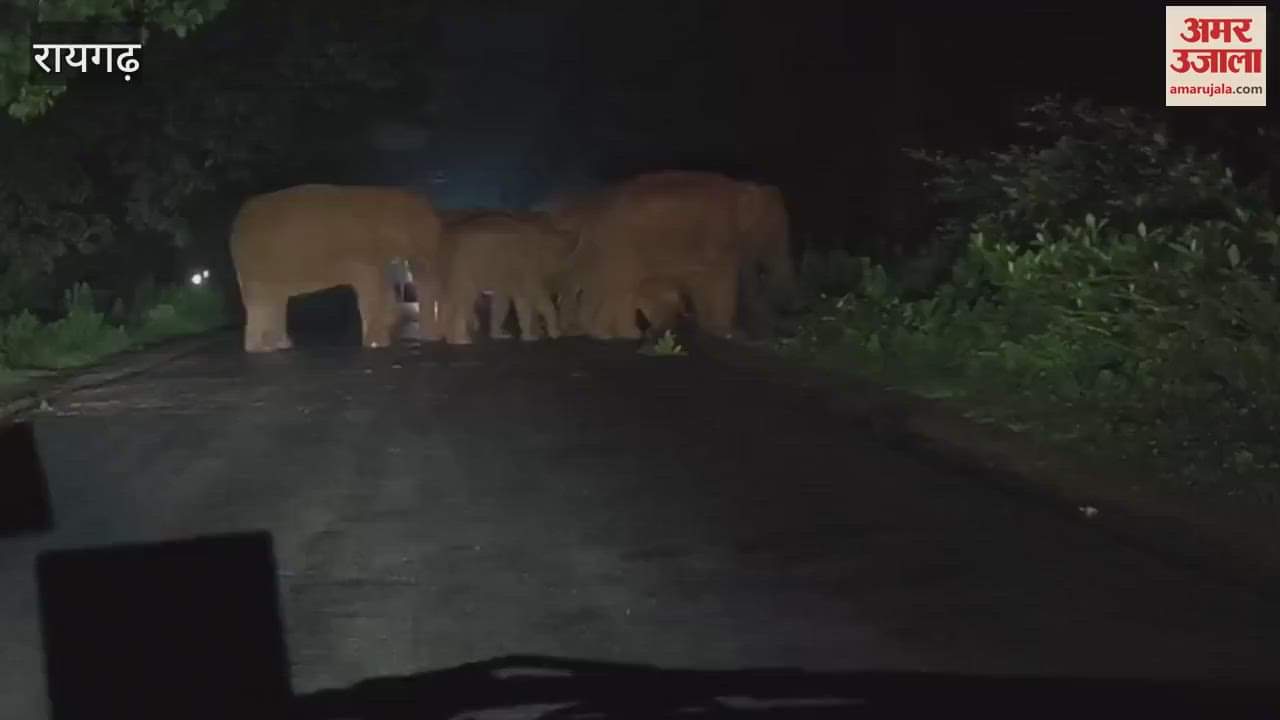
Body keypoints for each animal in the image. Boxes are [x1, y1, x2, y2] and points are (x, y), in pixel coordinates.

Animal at [229, 184, 445, 353]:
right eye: (419, 229)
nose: (434, 340)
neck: (382, 194)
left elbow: (381, 284)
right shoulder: (360, 251)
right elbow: (370, 284)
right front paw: (377, 344)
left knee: (272, 299)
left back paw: (276, 346)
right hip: (256, 262)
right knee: (262, 299)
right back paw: (263, 349)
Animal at [437, 211, 579, 344]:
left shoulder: (510, 272)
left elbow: (509, 302)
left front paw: (514, 336)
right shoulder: (527, 265)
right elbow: (535, 295)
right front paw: (554, 333)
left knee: (452, 301)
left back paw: (448, 337)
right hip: (464, 266)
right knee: (465, 299)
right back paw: (461, 340)